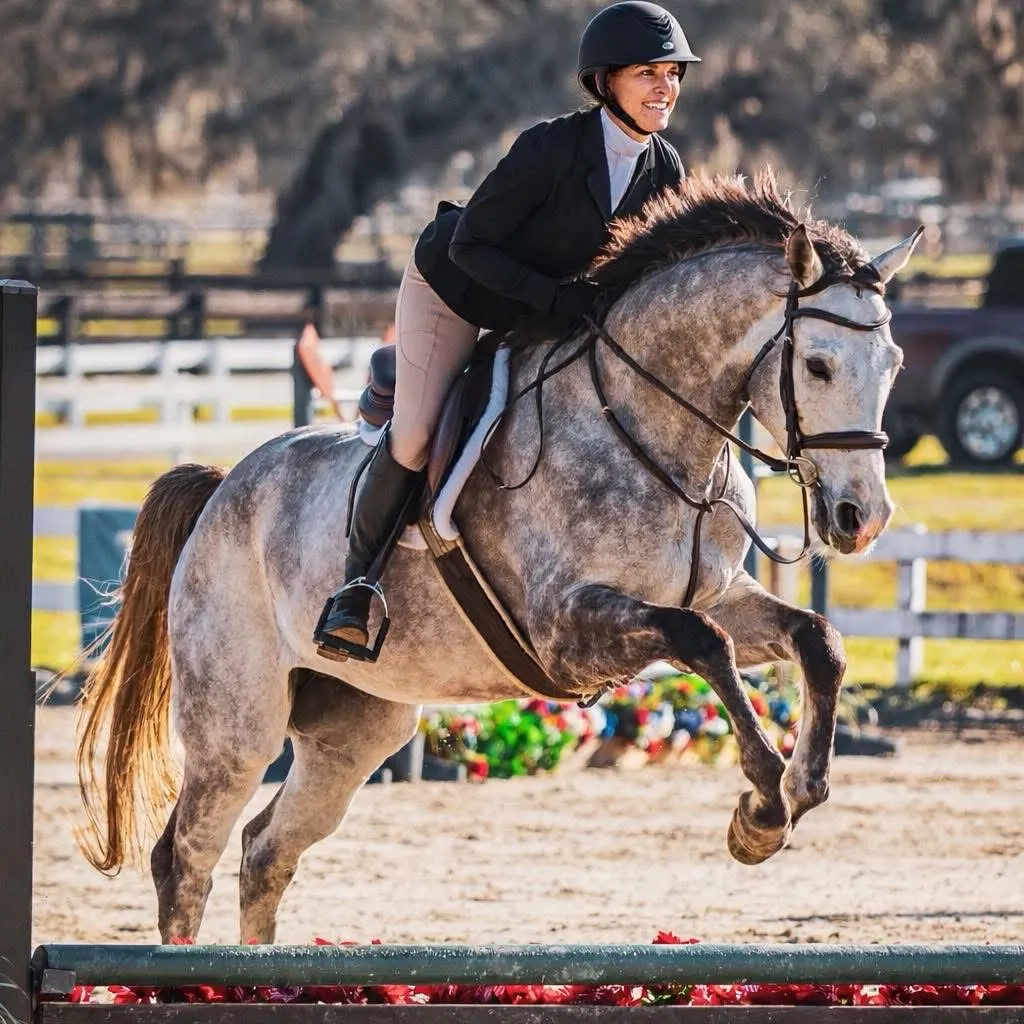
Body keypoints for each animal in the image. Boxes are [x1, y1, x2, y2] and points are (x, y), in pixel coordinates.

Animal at [75, 169, 921, 944]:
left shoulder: (714, 595)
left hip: (356, 727)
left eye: (895, 366)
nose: (862, 518)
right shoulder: (566, 631)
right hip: (237, 724)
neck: (647, 427)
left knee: (265, 852)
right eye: (817, 365)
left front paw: (801, 789)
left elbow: (816, 639)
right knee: (187, 855)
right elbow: (704, 644)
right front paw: (763, 806)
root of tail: (223, 489)